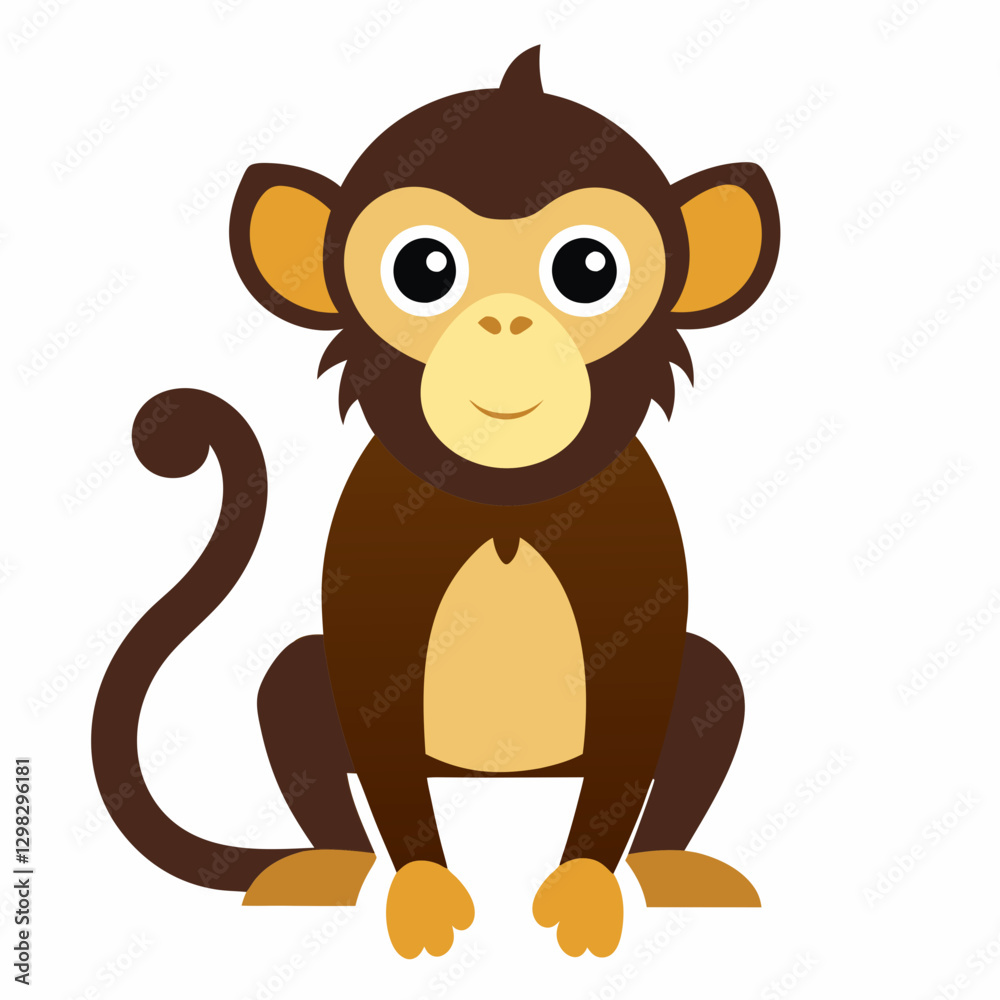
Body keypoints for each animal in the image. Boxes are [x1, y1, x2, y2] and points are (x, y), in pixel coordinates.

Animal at [92, 46, 779, 959]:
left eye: (587, 269)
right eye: (424, 269)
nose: (505, 324)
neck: (505, 499)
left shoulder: (636, 532)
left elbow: (642, 696)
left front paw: (585, 890)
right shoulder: (374, 538)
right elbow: (368, 692)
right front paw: (421, 892)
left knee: (709, 688)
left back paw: (675, 868)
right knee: (293, 690)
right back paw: (327, 868)